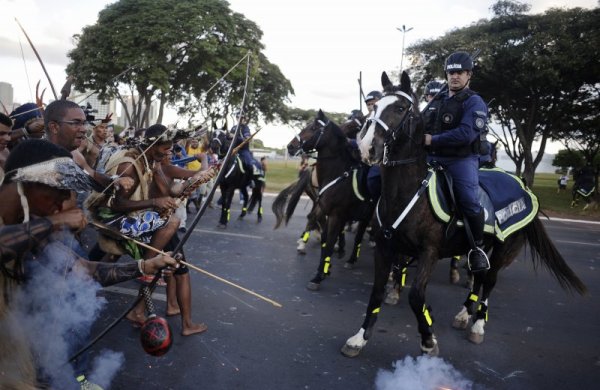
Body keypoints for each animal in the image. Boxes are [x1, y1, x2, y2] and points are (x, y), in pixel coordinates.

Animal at [276, 109, 376, 290]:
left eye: (314, 128)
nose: (291, 146)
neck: (338, 174)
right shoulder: (326, 211)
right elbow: (325, 240)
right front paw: (324, 269)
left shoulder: (337, 215)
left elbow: (329, 242)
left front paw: (318, 276)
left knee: (359, 236)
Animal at [342, 71, 584, 358]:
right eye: (376, 107)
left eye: (400, 108)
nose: (366, 147)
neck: (408, 193)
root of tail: (523, 185)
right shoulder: (385, 248)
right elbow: (377, 292)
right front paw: (359, 338)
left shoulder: (429, 252)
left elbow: (416, 297)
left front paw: (428, 340)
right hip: (479, 248)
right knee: (478, 277)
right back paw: (463, 314)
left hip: (503, 250)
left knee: (488, 281)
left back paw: (477, 325)